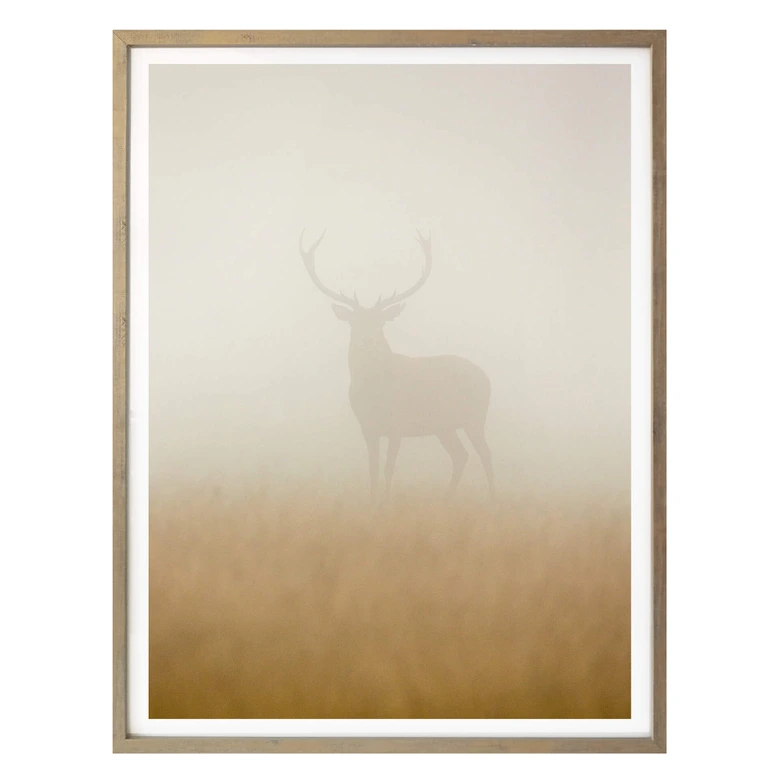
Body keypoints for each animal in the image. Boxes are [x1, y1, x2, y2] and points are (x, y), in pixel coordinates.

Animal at [298, 229, 494, 501]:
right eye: (354, 323)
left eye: (380, 323)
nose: (367, 340)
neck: (374, 391)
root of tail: (487, 378)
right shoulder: (367, 426)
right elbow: (372, 469)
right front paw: (372, 502)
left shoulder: (397, 423)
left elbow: (389, 468)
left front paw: (386, 503)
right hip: (444, 426)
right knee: (461, 455)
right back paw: (446, 500)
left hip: (475, 417)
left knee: (485, 454)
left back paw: (494, 499)